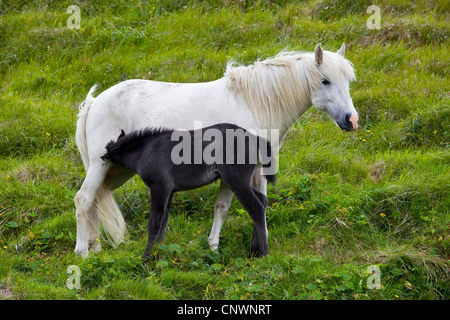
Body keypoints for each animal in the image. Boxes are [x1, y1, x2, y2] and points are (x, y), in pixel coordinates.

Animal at [102, 123, 276, 260]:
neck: (146, 150)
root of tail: (255, 138)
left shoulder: (159, 187)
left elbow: (154, 222)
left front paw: (147, 257)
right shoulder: (170, 191)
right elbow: (164, 221)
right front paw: (159, 250)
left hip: (237, 180)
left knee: (256, 208)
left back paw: (263, 254)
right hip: (236, 181)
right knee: (263, 200)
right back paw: (254, 249)